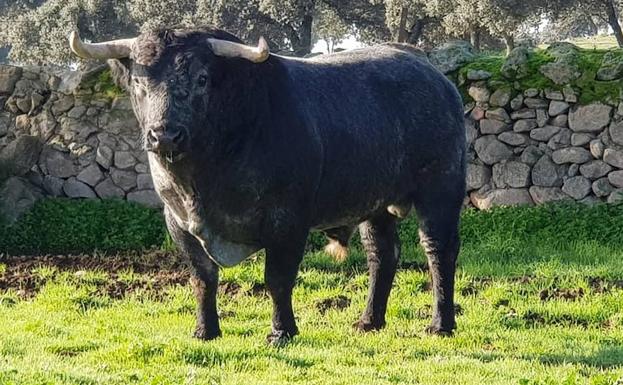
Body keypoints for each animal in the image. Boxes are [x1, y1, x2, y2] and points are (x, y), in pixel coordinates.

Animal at [78, 28, 466, 344]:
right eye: (138, 82)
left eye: (201, 78)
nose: (164, 135)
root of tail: (428, 70)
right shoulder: (177, 222)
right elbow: (203, 278)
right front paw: (205, 330)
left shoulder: (287, 221)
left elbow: (278, 279)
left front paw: (281, 331)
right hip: (376, 203)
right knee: (382, 254)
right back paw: (369, 321)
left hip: (441, 191)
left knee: (439, 251)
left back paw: (440, 324)